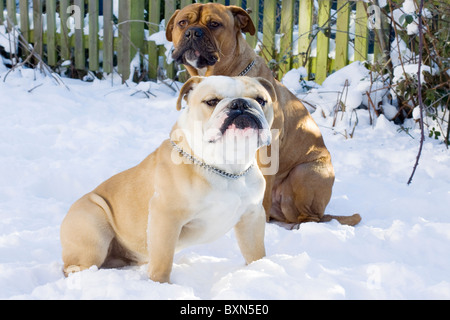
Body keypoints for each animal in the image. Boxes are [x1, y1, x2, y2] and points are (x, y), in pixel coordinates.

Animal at [167, 3, 360, 228]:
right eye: (182, 23)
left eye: (214, 24)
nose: (192, 32)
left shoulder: (266, 151)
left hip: (306, 171)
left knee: (310, 216)